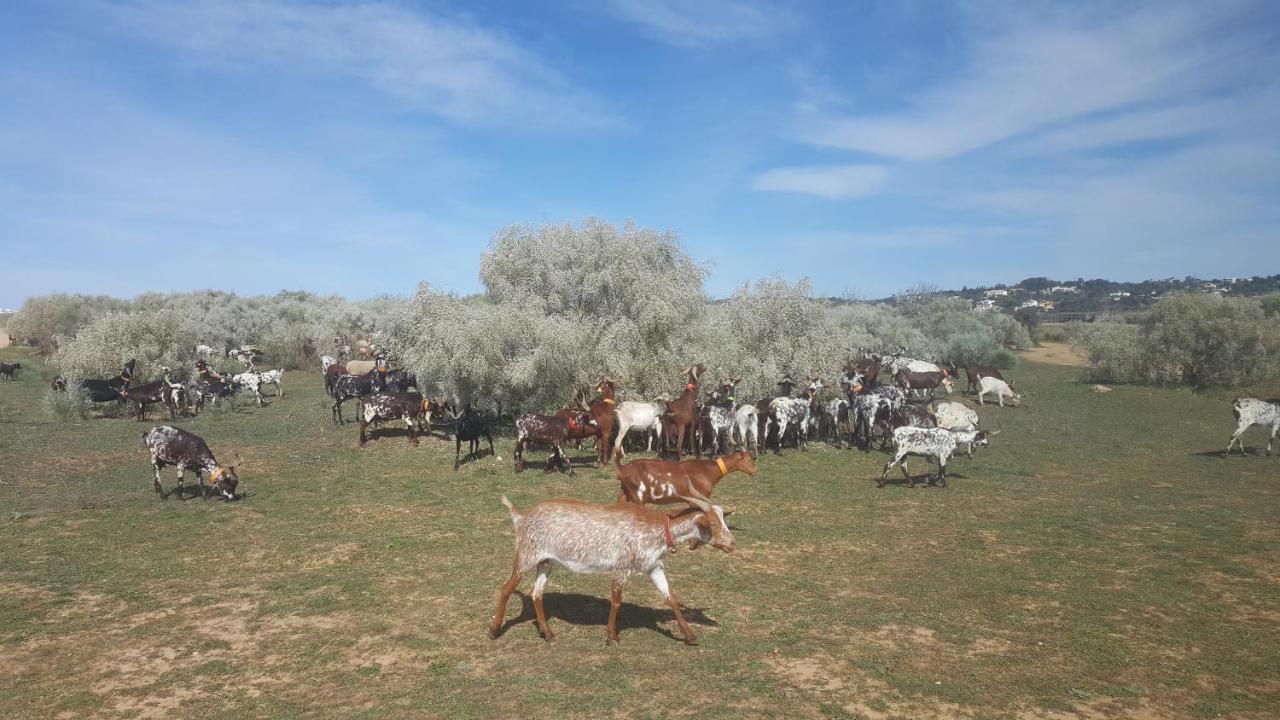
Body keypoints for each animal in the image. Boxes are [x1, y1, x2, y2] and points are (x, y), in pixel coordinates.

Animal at [486, 491, 732, 645]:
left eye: (723, 519)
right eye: (711, 523)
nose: (732, 544)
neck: (656, 530)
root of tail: (521, 517)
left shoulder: (654, 566)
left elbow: (670, 597)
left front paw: (689, 635)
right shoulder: (621, 566)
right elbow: (616, 601)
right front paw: (612, 637)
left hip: (546, 562)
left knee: (536, 593)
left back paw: (547, 634)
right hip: (526, 555)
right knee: (506, 588)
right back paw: (494, 630)